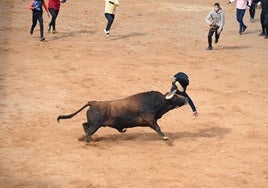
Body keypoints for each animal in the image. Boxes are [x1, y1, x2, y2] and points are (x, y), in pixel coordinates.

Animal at [57, 91, 187, 142]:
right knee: (89, 131)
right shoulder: (149, 118)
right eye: (176, 97)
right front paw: (165, 137)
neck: (157, 102)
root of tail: (93, 103)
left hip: (93, 123)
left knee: (84, 125)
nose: (186, 99)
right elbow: (157, 128)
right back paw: (88, 141)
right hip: (95, 125)